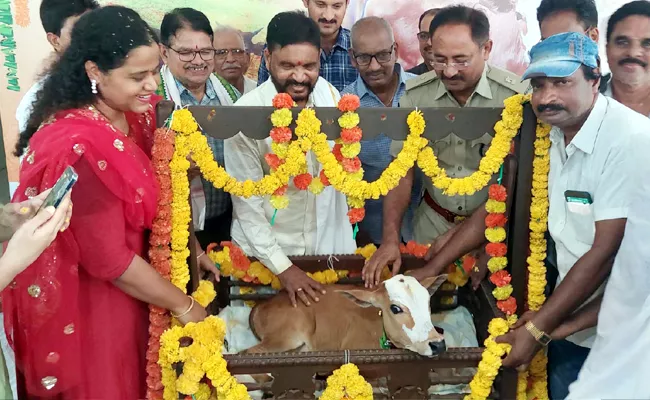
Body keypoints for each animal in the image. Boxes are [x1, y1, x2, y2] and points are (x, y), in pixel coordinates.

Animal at [246, 276, 448, 356]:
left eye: (428, 302)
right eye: (395, 308)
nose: (438, 344)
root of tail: (265, 303)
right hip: (286, 337)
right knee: (246, 353)